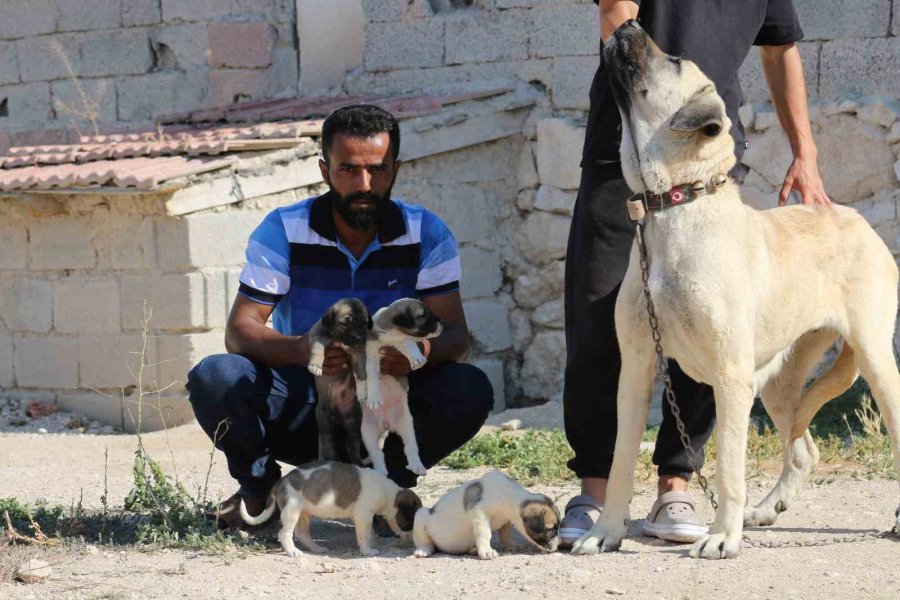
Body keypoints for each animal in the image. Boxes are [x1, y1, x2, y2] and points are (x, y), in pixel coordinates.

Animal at [239, 460, 422, 556]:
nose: (412, 540)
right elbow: (364, 535)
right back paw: (293, 552)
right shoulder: (363, 515)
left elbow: (368, 532)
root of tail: (281, 481)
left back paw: (317, 549)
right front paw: (367, 550)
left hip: (304, 513)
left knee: (302, 533)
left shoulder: (364, 517)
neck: (389, 494)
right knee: (284, 534)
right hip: (291, 511)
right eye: (410, 523)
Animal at [306, 298, 370, 464]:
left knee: (351, 445)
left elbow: (361, 367)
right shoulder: (318, 337)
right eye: (346, 322)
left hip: (354, 422)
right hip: (323, 420)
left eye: (364, 322)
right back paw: (334, 460)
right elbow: (317, 350)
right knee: (329, 444)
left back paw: (358, 463)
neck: (339, 339)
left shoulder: (357, 351)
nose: (360, 338)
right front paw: (315, 365)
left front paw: (363, 383)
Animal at [358, 300, 442, 478]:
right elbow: (372, 377)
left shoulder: (402, 341)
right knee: (377, 453)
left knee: (410, 448)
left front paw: (417, 358)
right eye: (423, 315)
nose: (442, 324)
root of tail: (386, 425)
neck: (391, 336)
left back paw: (417, 465)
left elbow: (409, 344)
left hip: (407, 426)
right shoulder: (371, 356)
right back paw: (381, 471)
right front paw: (374, 398)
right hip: (367, 432)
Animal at [414, 472, 556, 560]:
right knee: (426, 542)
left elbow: (506, 534)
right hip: (420, 514)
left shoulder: (505, 520)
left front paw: (510, 545)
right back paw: (423, 550)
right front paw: (487, 551)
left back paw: (473, 549)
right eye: (549, 529)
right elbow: (485, 533)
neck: (507, 495)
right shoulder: (479, 513)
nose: (555, 548)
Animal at [576, 21, 900, 560]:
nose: (626, 24)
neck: (674, 207)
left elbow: (729, 465)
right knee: (803, 448)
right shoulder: (637, 368)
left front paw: (722, 536)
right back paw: (768, 509)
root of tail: (854, 217)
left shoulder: (730, 376)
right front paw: (606, 531)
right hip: (776, 382)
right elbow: (620, 459)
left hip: (873, 360)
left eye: (674, 60)